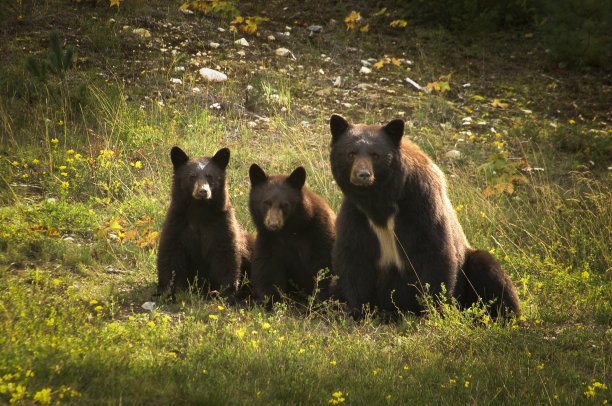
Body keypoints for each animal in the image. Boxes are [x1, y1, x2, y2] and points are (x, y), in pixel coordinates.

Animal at [158, 147, 253, 298]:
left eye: (210, 176)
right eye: (192, 176)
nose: (203, 191)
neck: (199, 210)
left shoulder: (222, 224)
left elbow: (226, 255)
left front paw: (226, 292)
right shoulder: (177, 222)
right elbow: (170, 253)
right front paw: (165, 291)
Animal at [246, 163, 338, 302]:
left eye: (285, 204)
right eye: (266, 202)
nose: (273, 224)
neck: (288, 230)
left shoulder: (320, 234)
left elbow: (324, 267)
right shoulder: (268, 240)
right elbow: (267, 270)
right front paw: (270, 300)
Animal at [328, 112, 520, 318]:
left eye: (375, 155)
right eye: (351, 153)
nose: (362, 174)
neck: (380, 201)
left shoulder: (422, 205)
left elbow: (435, 254)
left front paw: (432, 311)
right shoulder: (357, 214)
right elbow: (354, 258)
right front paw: (358, 310)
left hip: (469, 265)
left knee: (491, 274)